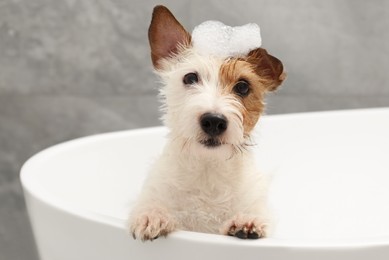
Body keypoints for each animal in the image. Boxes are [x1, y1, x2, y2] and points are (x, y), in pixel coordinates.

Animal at [129, 5, 284, 242]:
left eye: (243, 86)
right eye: (190, 78)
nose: (213, 121)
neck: (207, 169)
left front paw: (247, 221)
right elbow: (152, 204)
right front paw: (152, 215)